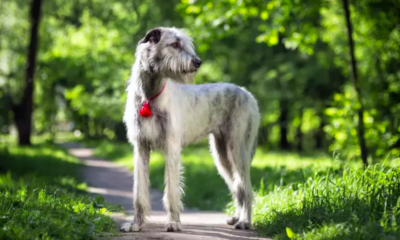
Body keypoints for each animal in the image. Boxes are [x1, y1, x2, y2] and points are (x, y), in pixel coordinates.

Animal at [120, 26, 260, 232]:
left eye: (186, 44)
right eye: (175, 44)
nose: (198, 62)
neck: (150, 95)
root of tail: (248, 94)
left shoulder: (172, 147)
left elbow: (172, 190)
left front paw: (173, 223)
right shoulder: (141, 147)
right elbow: (139, 192)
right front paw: (135, 224)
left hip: (238, 149)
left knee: (246, 188)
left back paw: (245, 221)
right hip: (222, 155)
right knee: (237, 187)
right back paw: (237, 217)